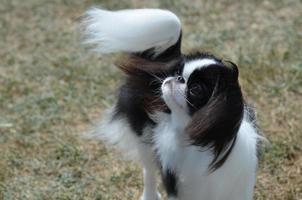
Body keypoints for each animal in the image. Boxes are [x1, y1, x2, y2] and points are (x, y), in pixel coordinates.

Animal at [80, 7, 260, 200]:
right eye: (177, 73)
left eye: (195, 89)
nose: (177, 78)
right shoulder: (175, 184)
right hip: (144, 138)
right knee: (148, 171)